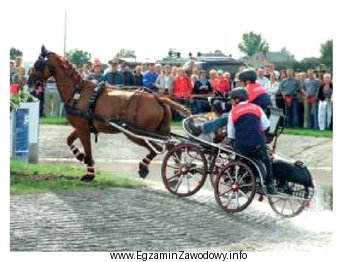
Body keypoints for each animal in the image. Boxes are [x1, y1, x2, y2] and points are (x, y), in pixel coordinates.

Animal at [34, 46, 191, 181]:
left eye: (38, 65)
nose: (32, 83)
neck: (78, 92)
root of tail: (159, 98)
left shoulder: (82, 128)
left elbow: (88, 149)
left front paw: (89, 173)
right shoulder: (82, 127)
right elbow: (69, 140)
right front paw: (80, 156)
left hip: (136, 133)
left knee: (159, 148)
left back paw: (147, 167)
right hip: (160, 131)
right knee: (174, 148)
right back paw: (177, 174)